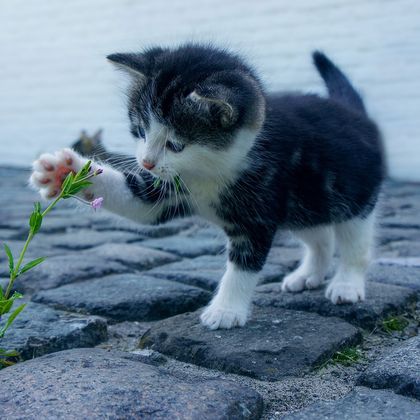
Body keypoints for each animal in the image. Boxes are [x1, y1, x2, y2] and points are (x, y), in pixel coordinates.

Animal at [28, 44, 384, 330]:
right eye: (140, 130)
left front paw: (226, 310)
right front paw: (65, 172)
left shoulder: (258, 210)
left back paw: (346, 284)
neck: (210, 171)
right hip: (304, 204)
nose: (146, 162)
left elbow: (243, 265)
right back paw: (308, 274)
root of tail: (355, 112)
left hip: (353, 196)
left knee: (354, 243)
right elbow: (138, 202)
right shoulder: (167, 190)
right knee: (320, 236)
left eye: (175, 144)